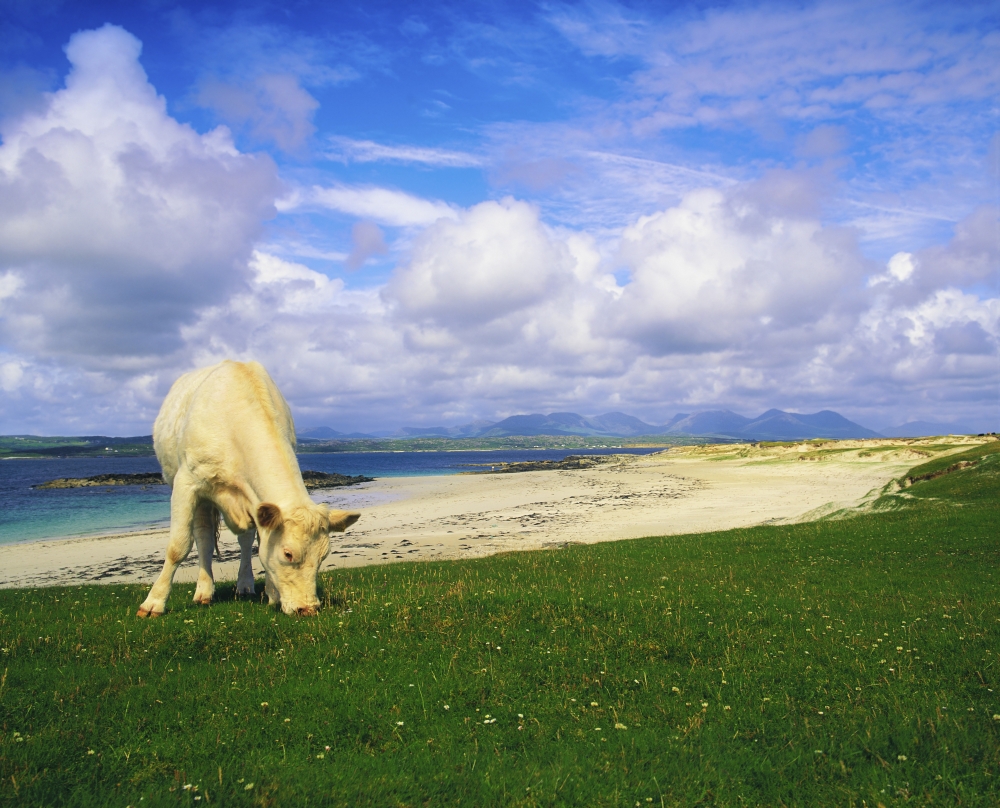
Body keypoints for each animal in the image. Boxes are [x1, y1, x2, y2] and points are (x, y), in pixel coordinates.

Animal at [137, 360, 360, 618]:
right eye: (288, 553)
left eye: (324, 556)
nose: (308, 609)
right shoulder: (186, 482)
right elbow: (178, 546)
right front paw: (153, 603)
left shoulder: (257, 500)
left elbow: (260, 543)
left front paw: (272, 594)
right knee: (203, 537)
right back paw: (204, 592)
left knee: (243, 540)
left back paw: (244, 585)